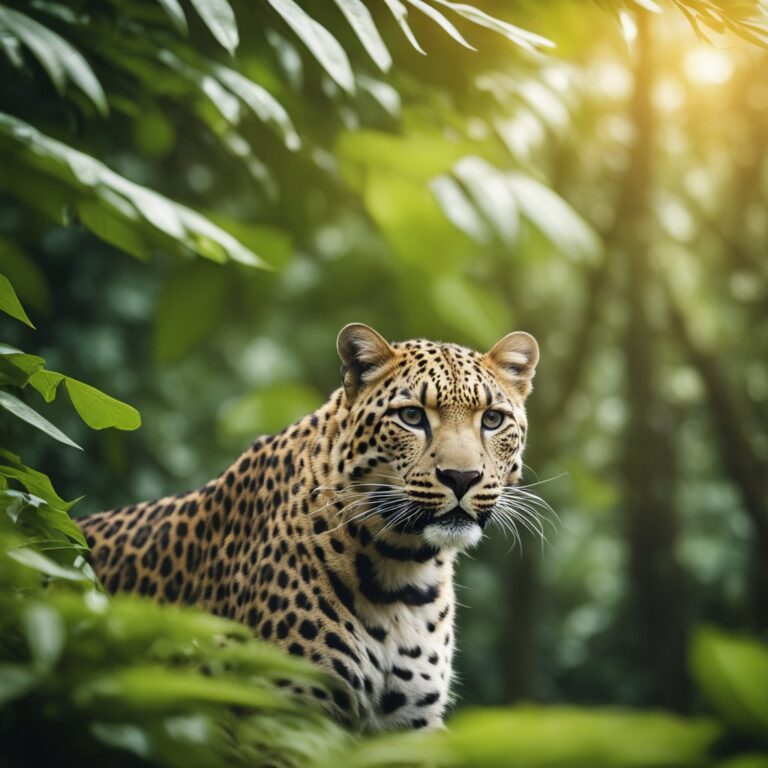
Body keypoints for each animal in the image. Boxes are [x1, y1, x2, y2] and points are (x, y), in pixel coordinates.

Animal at [78, 323, 539, 732]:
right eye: (411, 416)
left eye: (492, 421)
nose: (462, 478)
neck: (403, 572)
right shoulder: (283, 716)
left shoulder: (408, 723)